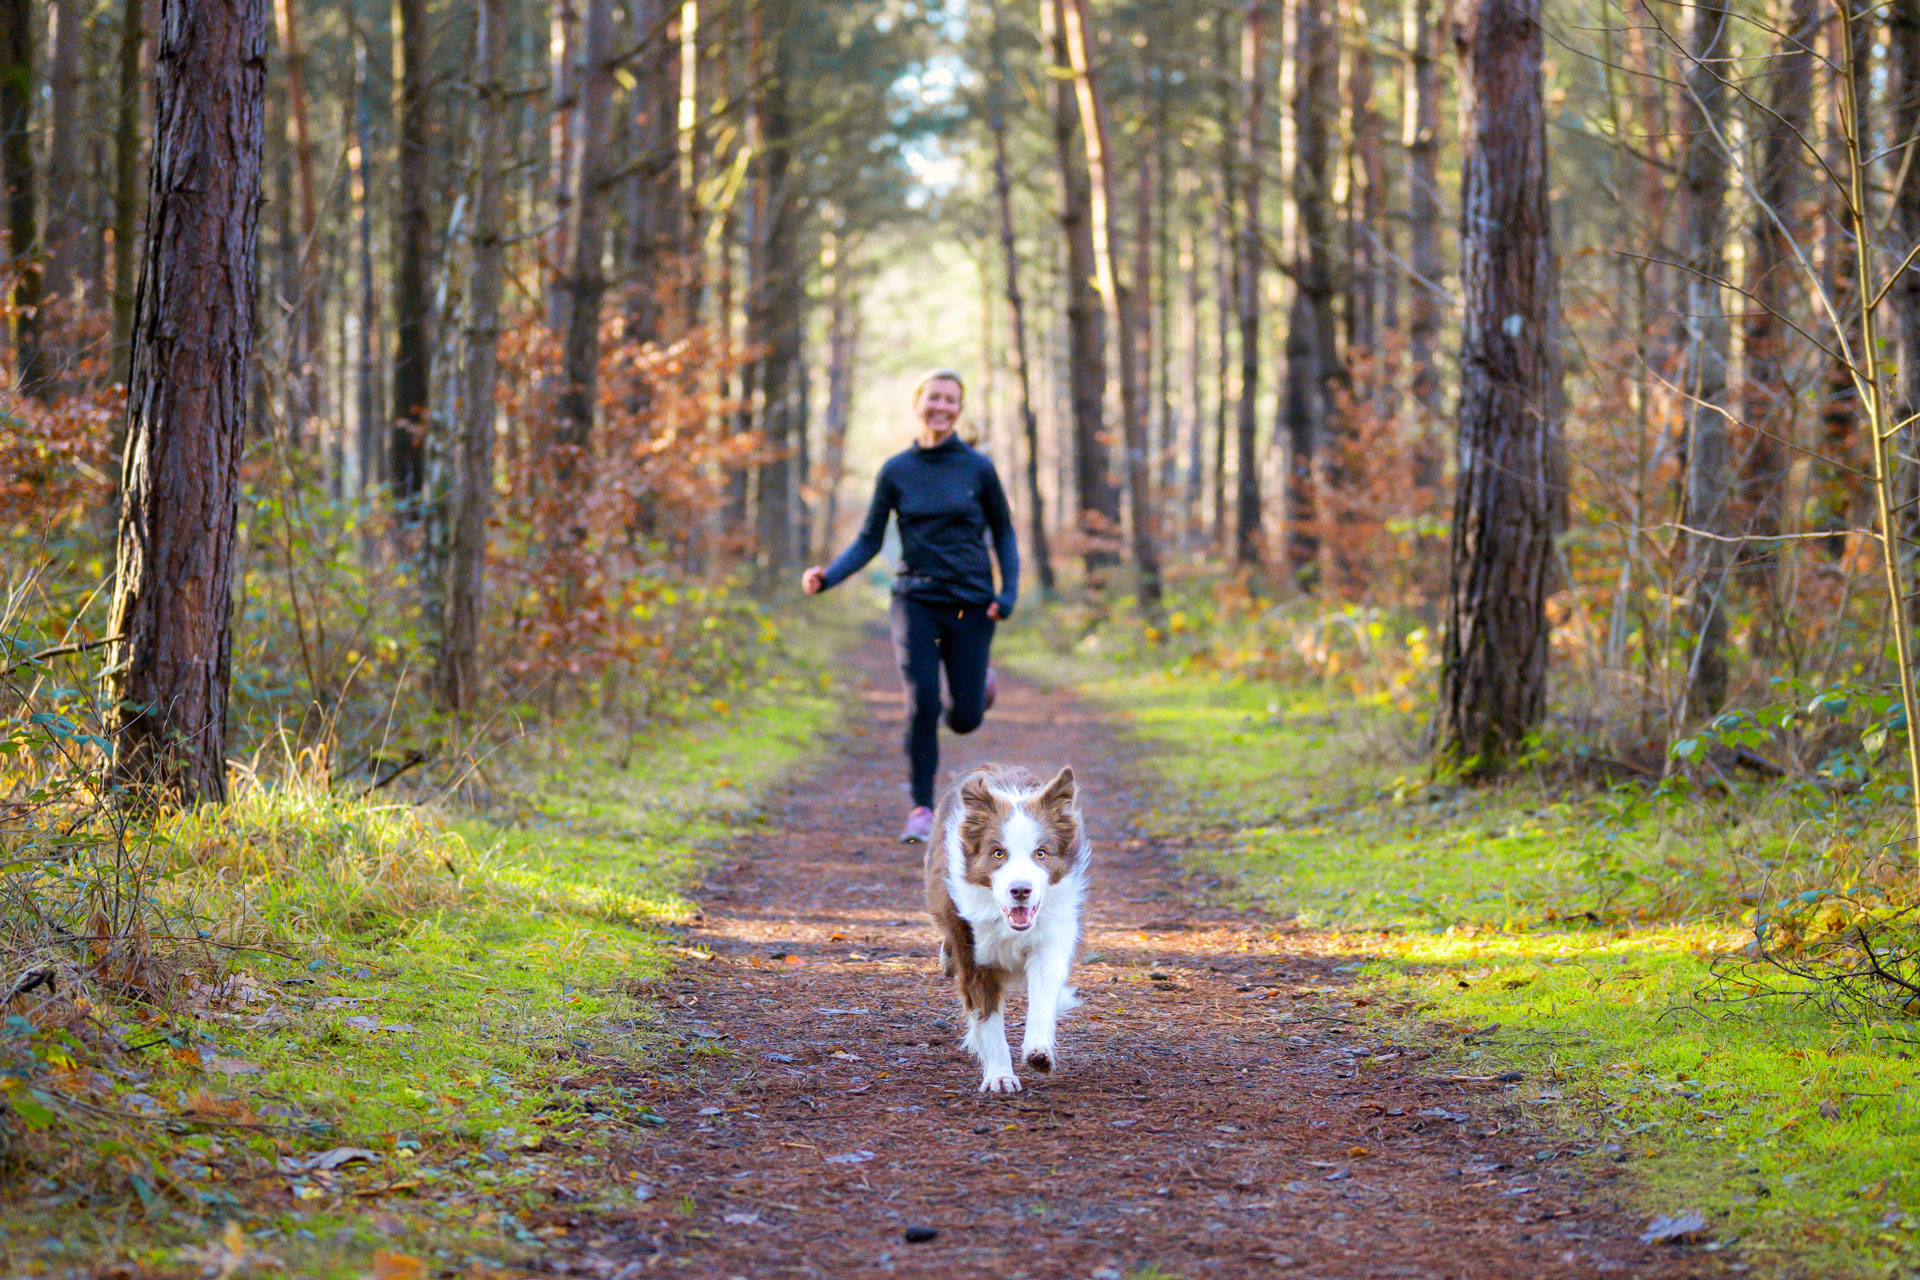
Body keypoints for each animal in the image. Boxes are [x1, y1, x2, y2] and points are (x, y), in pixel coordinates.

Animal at [921, 767, 1090, 1097]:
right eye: (998, 853)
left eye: (1041, 853)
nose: (1020, 890)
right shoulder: (974, 957)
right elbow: (988, 1022)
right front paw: (1000, 1075)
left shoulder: (1048, 943)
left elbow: (1042, 999)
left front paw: (1039, 1050)